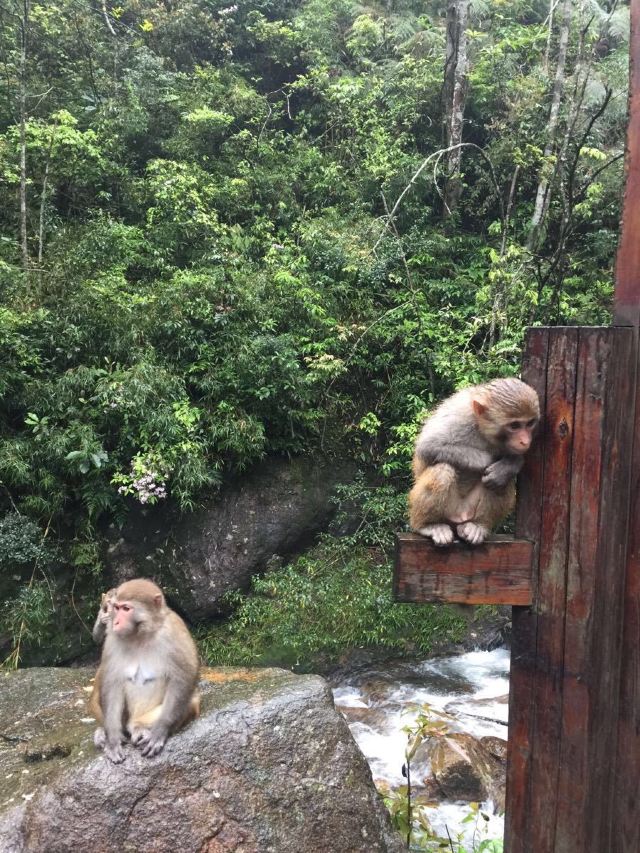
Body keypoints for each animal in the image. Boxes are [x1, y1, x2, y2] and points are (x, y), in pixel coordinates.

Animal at [89, 578, 200, 764]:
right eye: (117, 608)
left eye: (126, 609)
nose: (115, 621)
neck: (141, 633)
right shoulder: (112, 638)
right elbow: (112, 682)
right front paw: (112, 739)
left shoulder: (175, 630)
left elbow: (183, 676)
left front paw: (159, 730)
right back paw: (104, 733)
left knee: (192, 699)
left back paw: (140, 729)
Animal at [409, 378, 539, 547]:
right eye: (514, 425)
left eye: (530, 423)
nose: (525, 441)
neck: (482, 429)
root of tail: (460, 516)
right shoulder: (459, 416)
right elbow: (428, 446)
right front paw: (489, 459)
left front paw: (509, 465)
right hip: (448, 511)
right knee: (442, 471)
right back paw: (428, 526)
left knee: (499, 482)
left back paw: (479, 525)